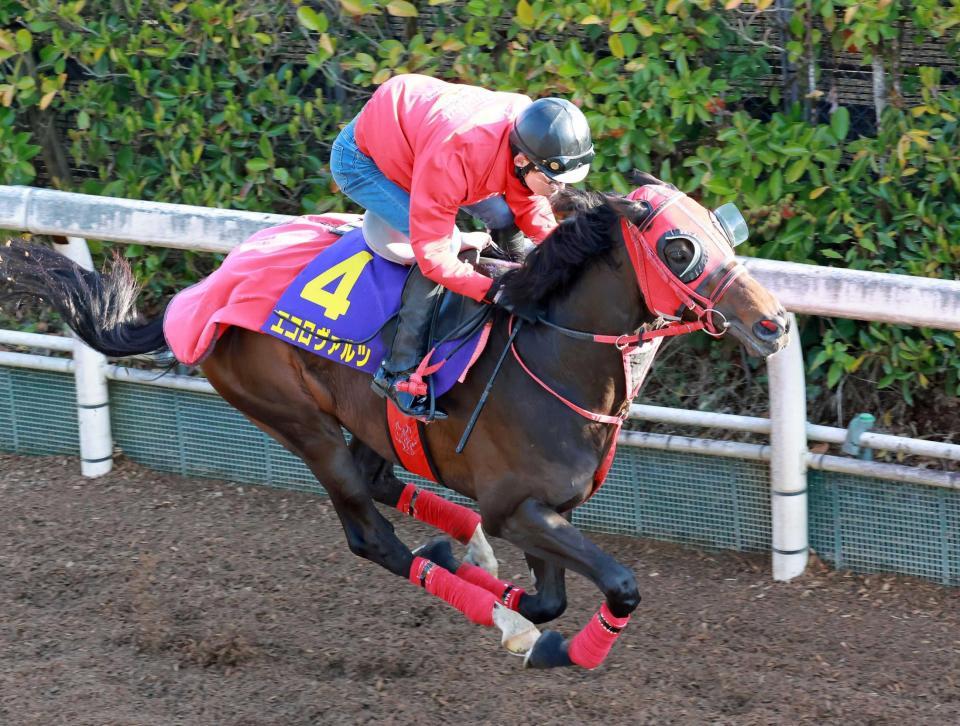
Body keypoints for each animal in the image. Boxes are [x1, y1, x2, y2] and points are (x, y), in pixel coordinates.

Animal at [1, 181, 788, 672]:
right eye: (680, 247)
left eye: (726, 227)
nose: (774, 323)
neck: (551, 354)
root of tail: (202, 292)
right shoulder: (516, 507)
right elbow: (615, 586)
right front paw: (547, 642)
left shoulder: (546, 508)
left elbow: (551, 595)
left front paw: (485, 582)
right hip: (296, 419)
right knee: (367, 530)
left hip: (365, 421)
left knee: (382, 482)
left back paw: (458, 549)